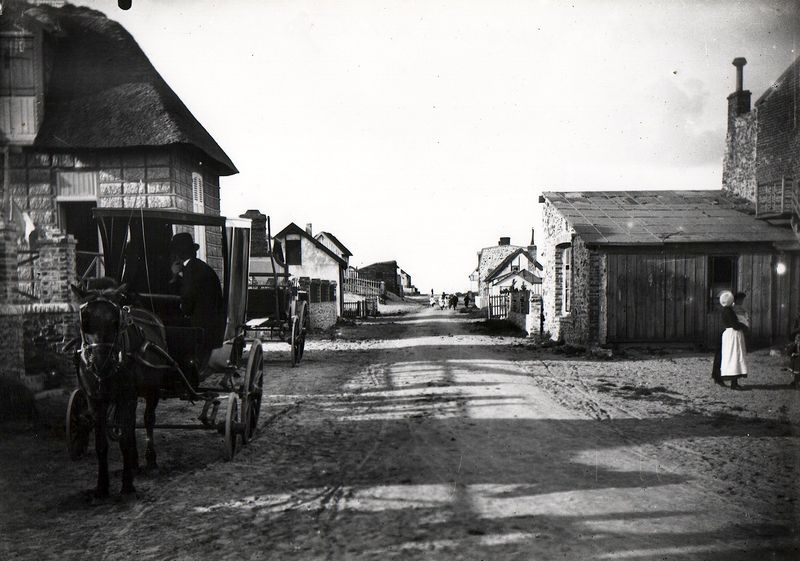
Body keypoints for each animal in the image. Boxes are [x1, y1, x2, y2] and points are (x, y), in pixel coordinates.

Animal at [71, 278, 165, 494]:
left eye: (116, 322)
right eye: (84, 321)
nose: (101, 362)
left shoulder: (126, 397)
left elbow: (124, 440)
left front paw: (127, 485)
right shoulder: (95, 401)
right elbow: (102, 443)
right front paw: (102, 487)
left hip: (151, 390)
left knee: (148, 420)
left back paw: (150, 460)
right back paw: (135, 462)